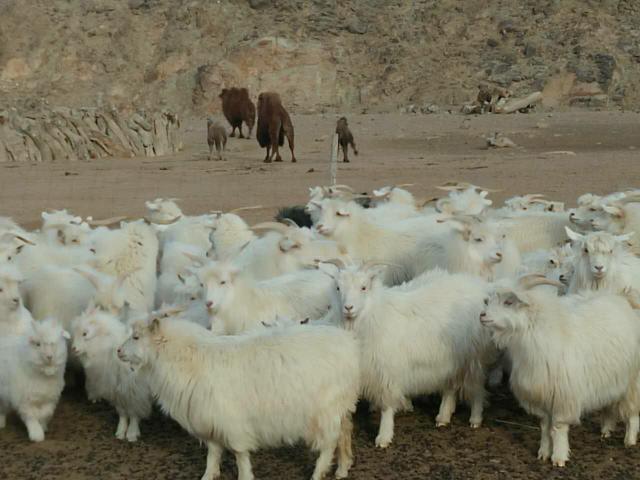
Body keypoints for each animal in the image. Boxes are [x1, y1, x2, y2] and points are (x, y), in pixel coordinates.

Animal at [119, 316, 360, 480]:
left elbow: (239, 453)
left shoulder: (232, 422)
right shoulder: (211, 419)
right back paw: (342, 468)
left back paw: (318, 473)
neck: (188, 359)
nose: (118, 351)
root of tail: (349, 344)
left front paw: (245, 476)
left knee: (329, 443)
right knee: (345, 432)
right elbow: (213, 452)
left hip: (326, 409)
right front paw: (209, 475)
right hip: (341, 406)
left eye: (136, 337)